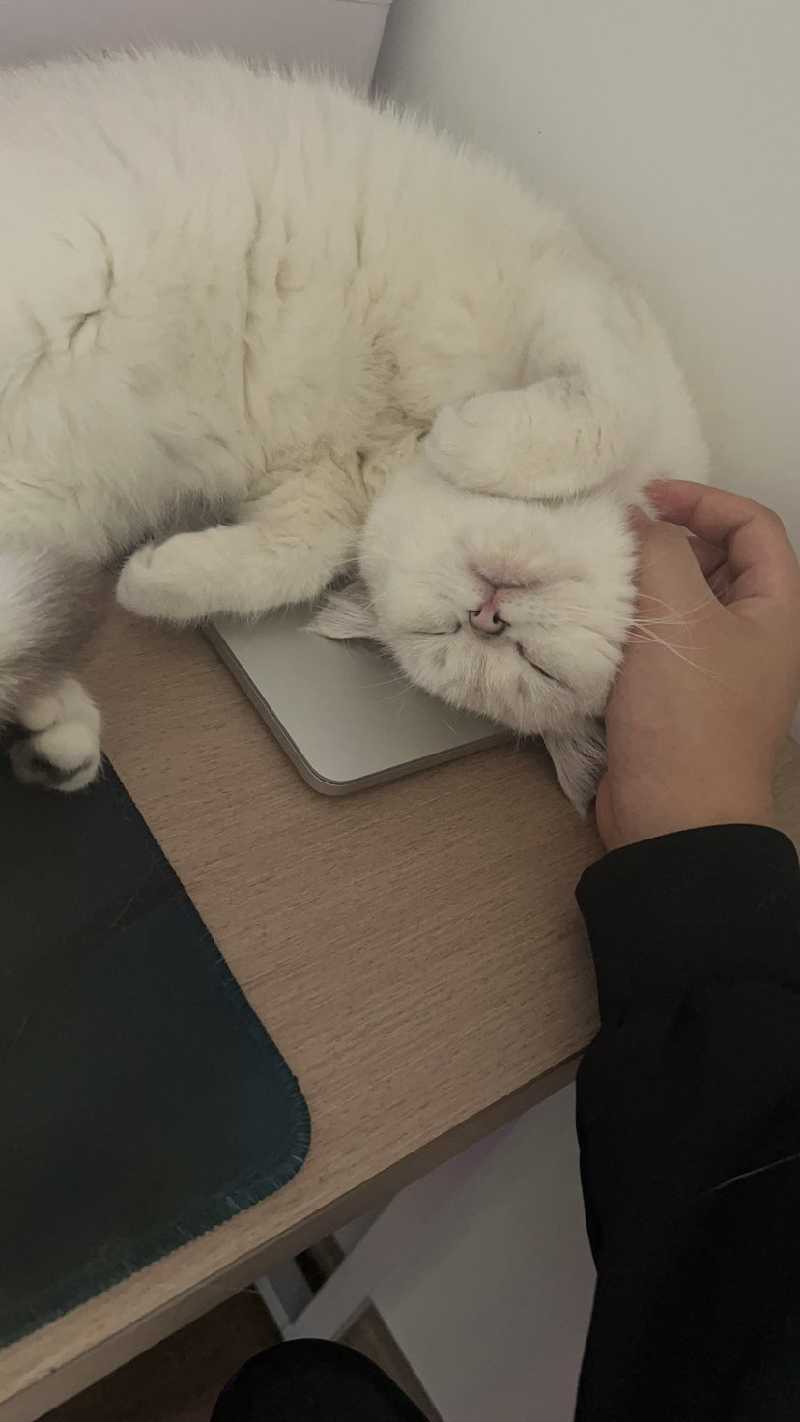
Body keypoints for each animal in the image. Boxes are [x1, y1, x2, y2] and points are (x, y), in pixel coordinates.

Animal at [0, 49, 707, 808]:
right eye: (456, 630)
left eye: (529, 664)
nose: (488, 618)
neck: (399, 443)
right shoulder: (573, 300)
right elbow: (606, 405)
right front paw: (467, 436)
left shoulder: (313, 487)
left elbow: (294, 558)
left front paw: (151, 580)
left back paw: (56, 734)